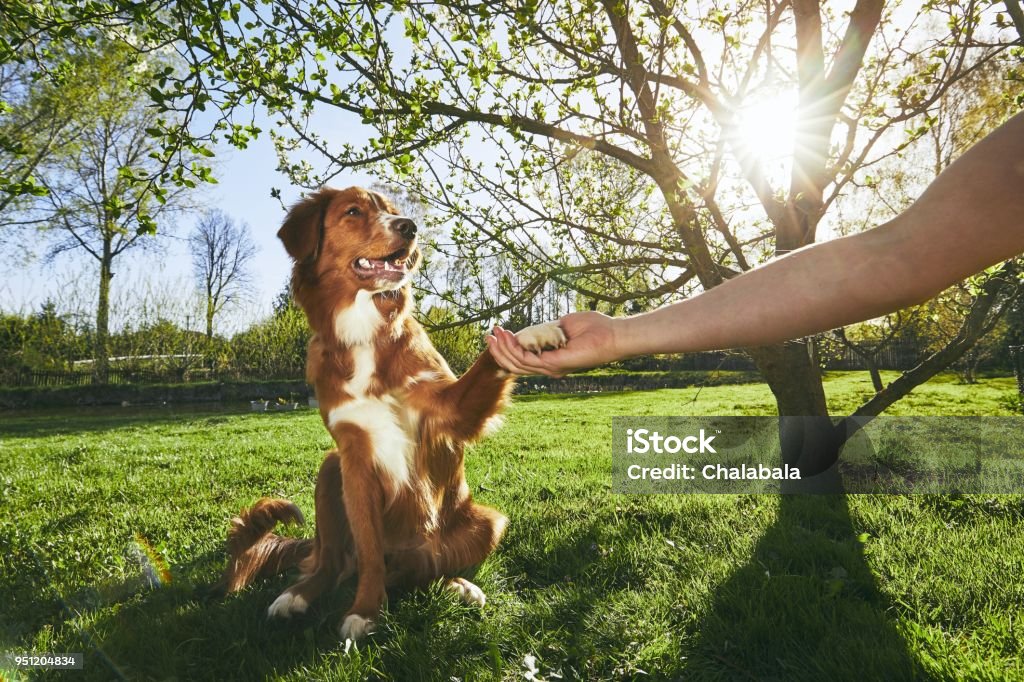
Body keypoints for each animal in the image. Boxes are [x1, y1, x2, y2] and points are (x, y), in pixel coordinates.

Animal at [219, 184, 565, 638]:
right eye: (353, 211)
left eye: (393, 211)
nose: (410, 227)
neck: (365, 331)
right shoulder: (354, 457)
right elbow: (368, 552)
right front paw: (366, 610)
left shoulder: (448, 410)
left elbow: (491, 354)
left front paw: (532, 335)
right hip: (330, 470)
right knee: (332, 563)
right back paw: (297, 596)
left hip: (487, 523)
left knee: (423, 569)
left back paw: (456, 585)